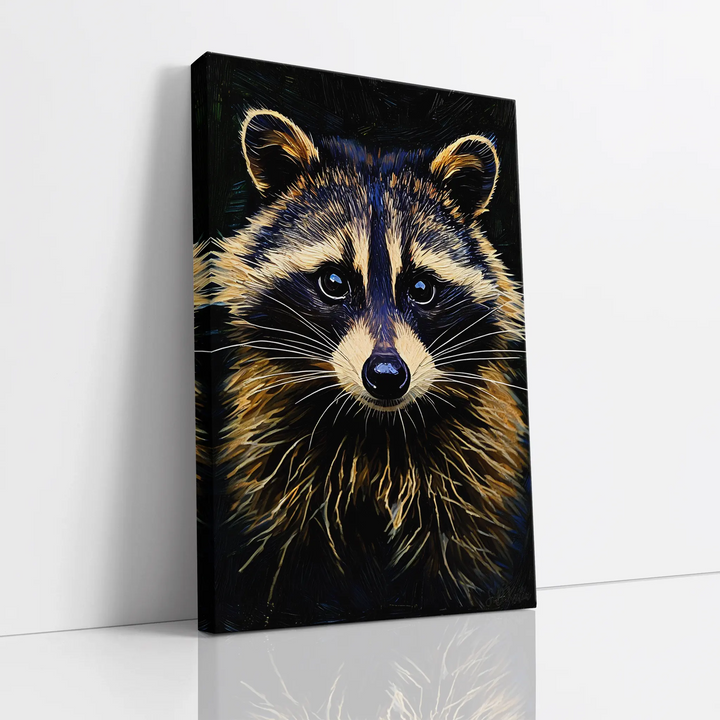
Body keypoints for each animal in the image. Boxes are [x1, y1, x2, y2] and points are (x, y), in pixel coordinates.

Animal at [195, 109, 532, 631]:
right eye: (334, 282)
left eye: (421, 288)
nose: (388, 376)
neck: (377, 428)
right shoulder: (276, 476)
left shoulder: (473, 476)